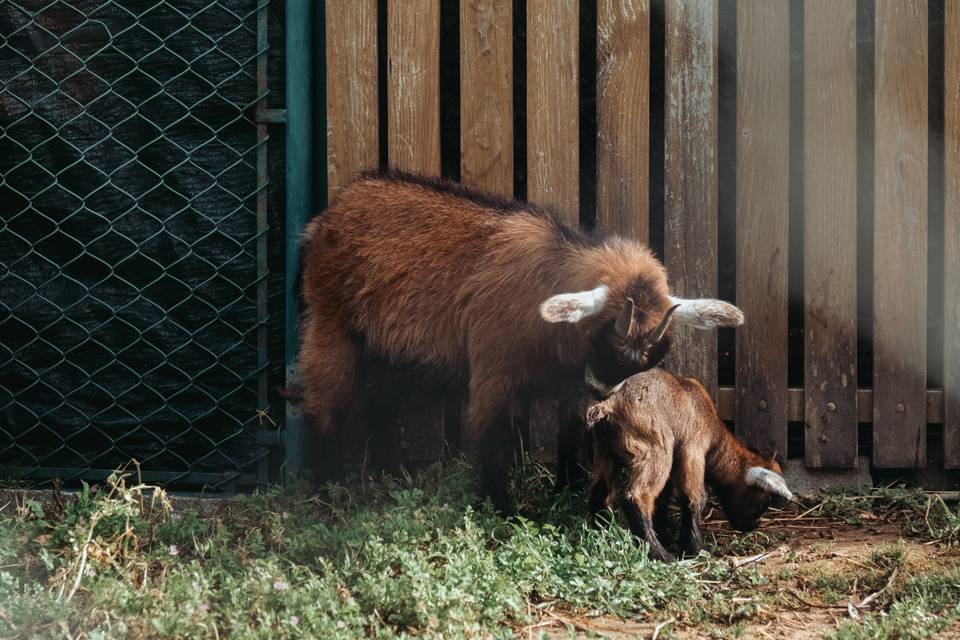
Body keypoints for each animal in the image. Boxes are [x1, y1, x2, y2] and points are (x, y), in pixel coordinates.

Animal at [296, 171, 748, 510]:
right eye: (603, 339)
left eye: (646, 360)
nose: (603, 390)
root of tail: (328, 216)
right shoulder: (494, 371)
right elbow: (494, 438)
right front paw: (500, 508)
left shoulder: (570, 383)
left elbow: (569, 434)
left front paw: (565, 490)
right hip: (332, 323)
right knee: (324, 400)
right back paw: (324, 489)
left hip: (392, 349)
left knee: (381, 400)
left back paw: (390, 472)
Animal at [584, 368, 796, 564]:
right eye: (764, 500)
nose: (753, 525)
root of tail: (610, 404)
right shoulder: (693, 452)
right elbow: (694, 499)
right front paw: (697, 548)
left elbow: (663, 499)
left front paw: (667, 536)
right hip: (656, 449)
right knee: (636, 497)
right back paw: (662, 556)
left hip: (604, 452)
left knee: (601, 493)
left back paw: (601, 535)